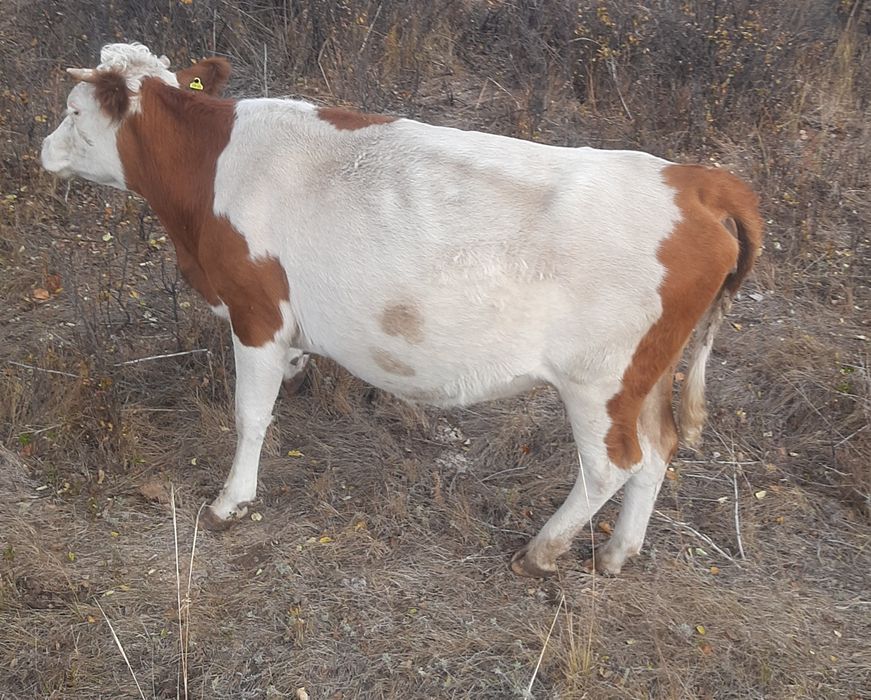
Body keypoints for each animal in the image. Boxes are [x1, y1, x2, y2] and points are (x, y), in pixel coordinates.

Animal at [41, 43, 763, 577]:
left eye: (73, 111)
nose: (41, 150)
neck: (210, 166)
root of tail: (698, 182)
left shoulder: (256, 311)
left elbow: (250, 417)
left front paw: (229, 502)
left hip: (598, 382)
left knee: (613, 463)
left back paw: (543, 550)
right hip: (647, 372)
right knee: (658, 449)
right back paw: (616, 553)